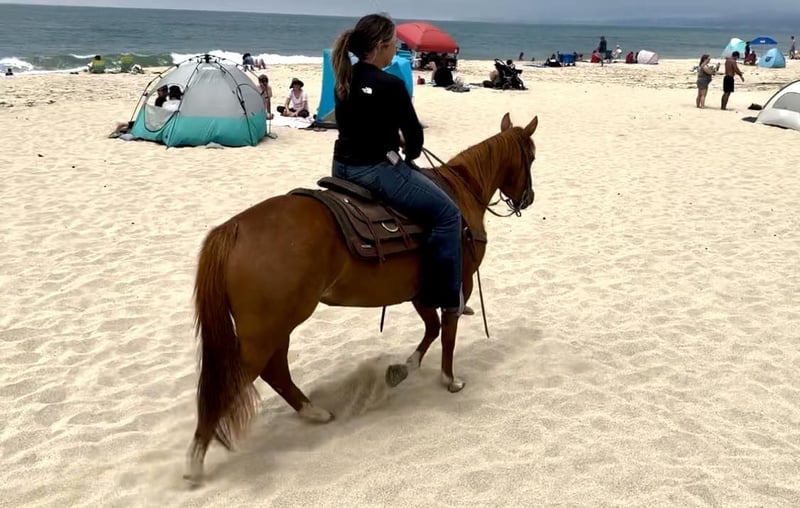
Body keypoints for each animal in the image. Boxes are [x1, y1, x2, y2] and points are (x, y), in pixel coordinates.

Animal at [185, 112, 538, 484]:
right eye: (531, 157)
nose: (527, 198)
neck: (461, 191)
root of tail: (234, 229)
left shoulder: (421, 291)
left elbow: (432, 328)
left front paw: (404, 367)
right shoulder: (457, 282)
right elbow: (448, 333)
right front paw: (449, 379)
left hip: (277, 326)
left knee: (275, 371)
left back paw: (312, 411)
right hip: (267, 331)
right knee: (237, 380)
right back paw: (196, 459)